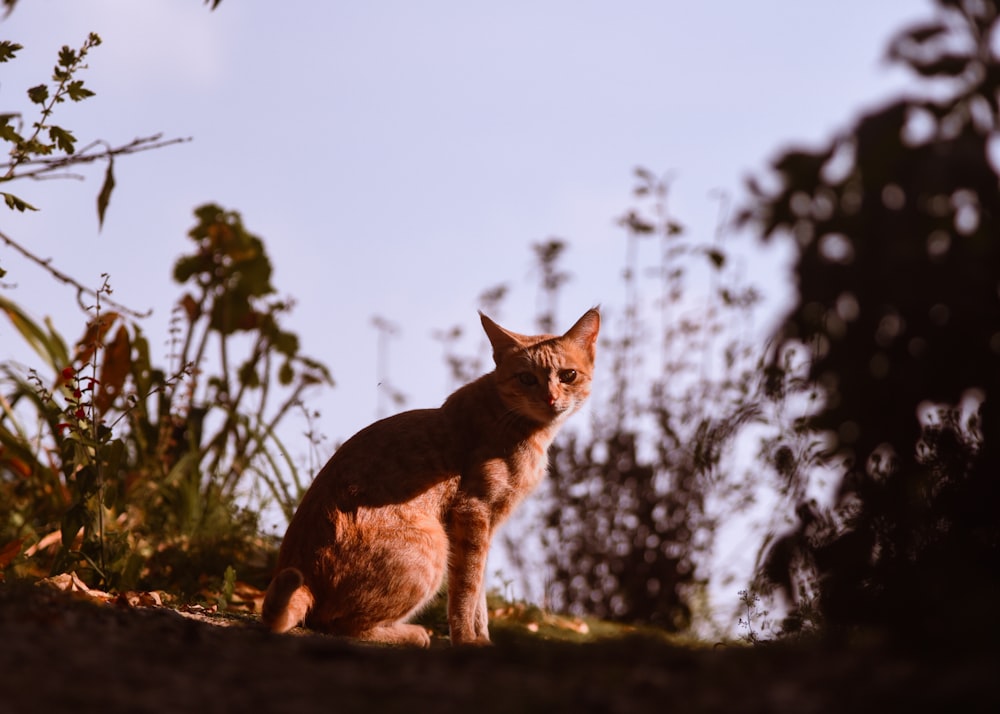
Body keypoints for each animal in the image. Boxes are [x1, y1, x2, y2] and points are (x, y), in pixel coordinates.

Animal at [262, 308, 596, 644]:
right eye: (527, 378)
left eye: (568, 375)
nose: (550, 398)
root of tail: (305, 575)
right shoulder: (473, 513)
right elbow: (467, 588)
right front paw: (466, 639)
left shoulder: (486, 526)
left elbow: (479, 591)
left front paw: (482, 639)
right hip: (433, 543)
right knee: (339, 624)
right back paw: (412, 634)